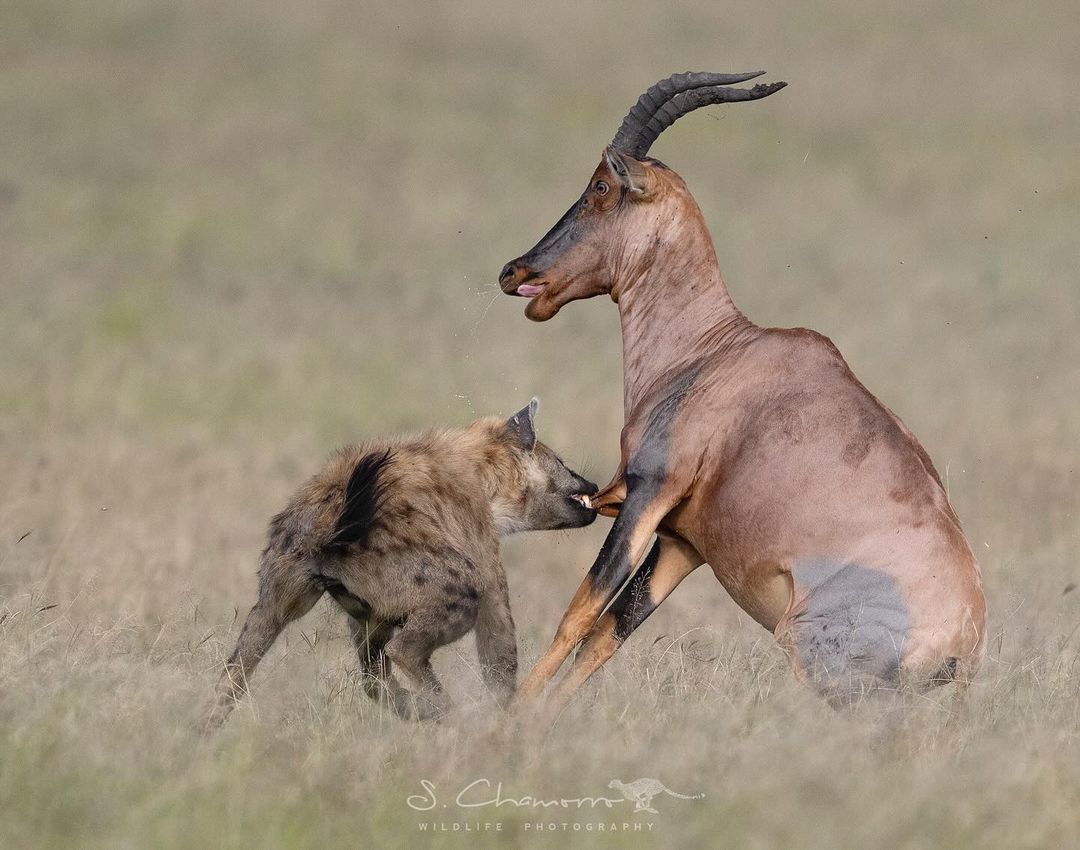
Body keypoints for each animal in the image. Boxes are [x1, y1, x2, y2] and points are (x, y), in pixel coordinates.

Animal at [496, 71, 989, 712]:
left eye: (602, 185)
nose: (513, 271)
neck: (715, 350)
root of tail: (963, 651)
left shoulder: (649, 492)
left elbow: (580, 612)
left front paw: (508, 717)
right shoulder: (682, 541)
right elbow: (608, 635)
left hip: (807, 649)